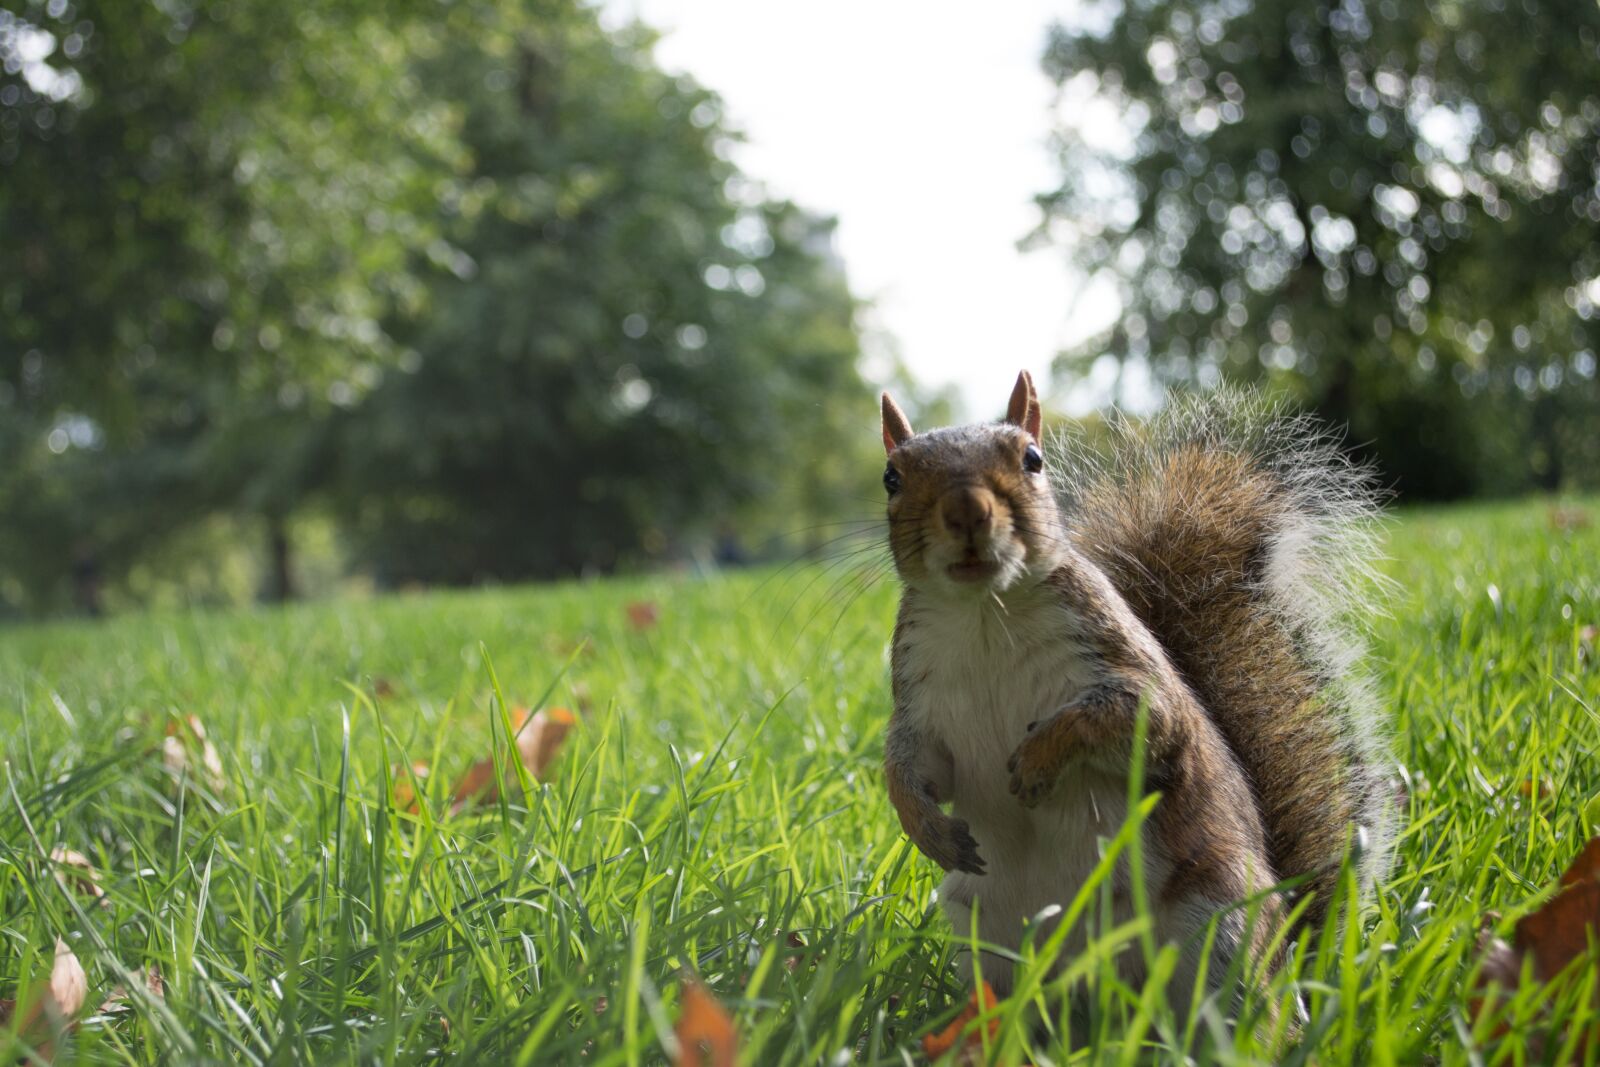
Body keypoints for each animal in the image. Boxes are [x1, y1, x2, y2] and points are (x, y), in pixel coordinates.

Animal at [879, 370, 1394, 1007]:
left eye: (1032, 459)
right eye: (891, 477)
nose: (967, 511)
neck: (983, 616)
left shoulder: (1123, 665)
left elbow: (1141, 722)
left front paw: (1038, 760)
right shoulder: (920, 705)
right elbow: (913, 768)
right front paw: (927, 828)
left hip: (1221, 917)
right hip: (982, 932)